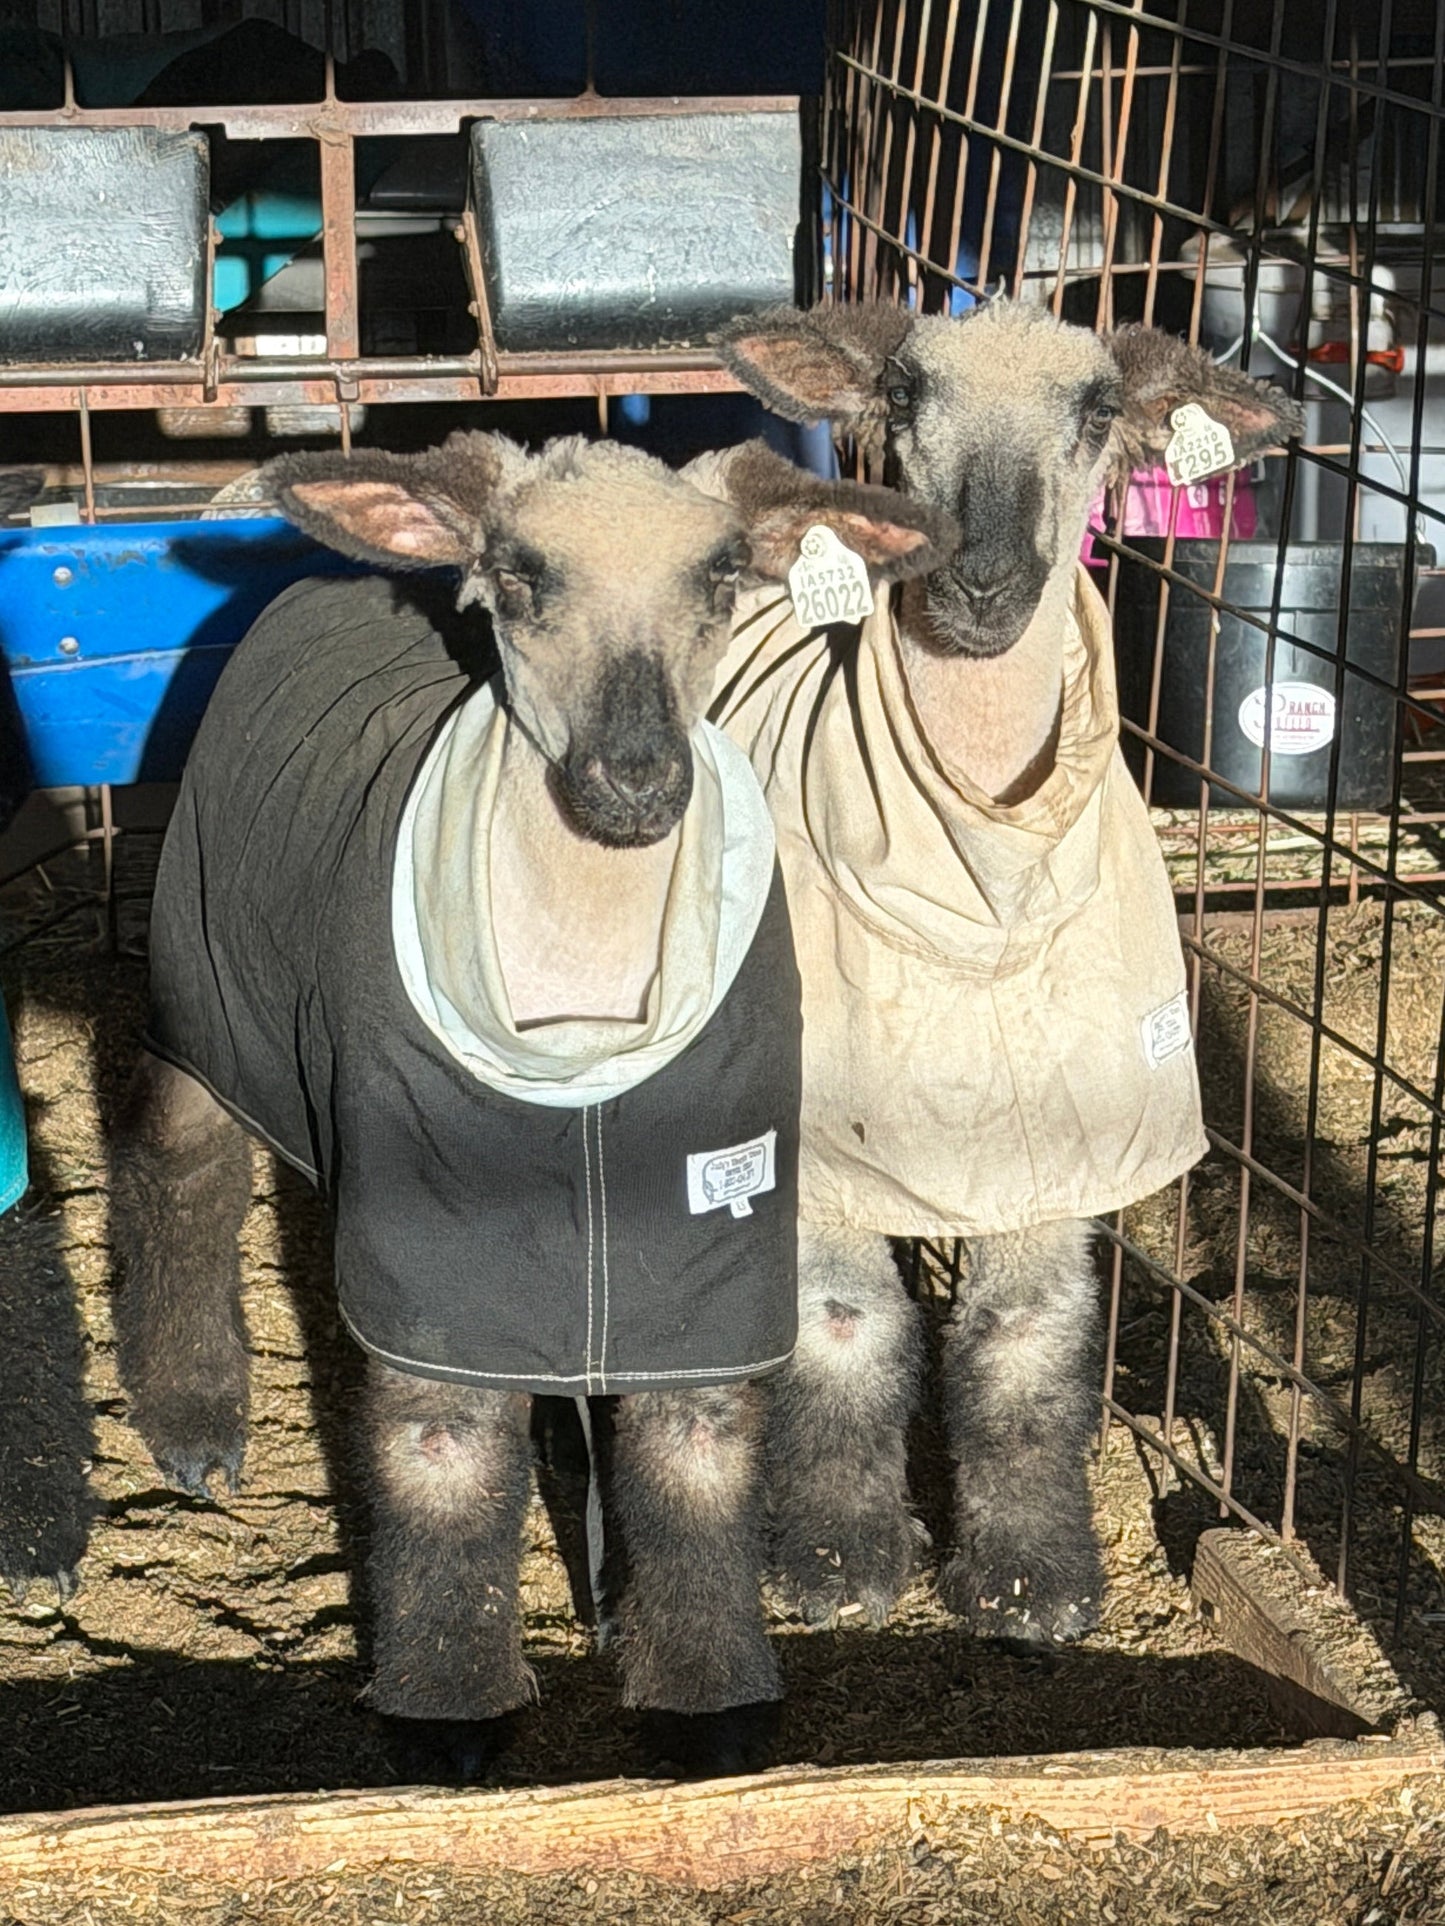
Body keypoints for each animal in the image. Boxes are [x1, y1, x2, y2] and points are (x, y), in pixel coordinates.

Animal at [108, 430, 955, 1779]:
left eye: (724, 575)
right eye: (517, 572)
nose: (637, 781)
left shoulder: (703, 1231)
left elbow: (693, 1454)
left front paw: (707, 1704)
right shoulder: (428, 1243)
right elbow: (442, 1457)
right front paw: (450, 1715)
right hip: (207, 989)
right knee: (178, 1167)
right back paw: (194, 1416)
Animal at [691, 300, 1303, 1645]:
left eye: (1094, 410)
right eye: (904, 391)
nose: (979, 578)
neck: (981, 873)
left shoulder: (1070, 1126)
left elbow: (1023, 1342)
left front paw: (1032, 1581)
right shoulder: (817, 1133)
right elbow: (840, 1329)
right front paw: (836, 1561)